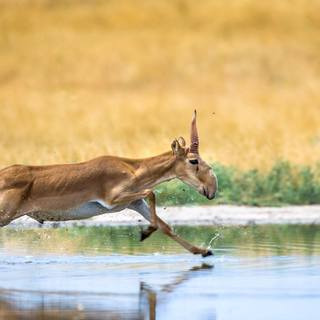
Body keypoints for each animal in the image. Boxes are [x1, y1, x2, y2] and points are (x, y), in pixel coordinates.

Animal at [0, 111, 218, 256]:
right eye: (193, 160)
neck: (132, 169)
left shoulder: (134, 203)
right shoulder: (113, 200)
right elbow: (151, 193)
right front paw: (145, 233)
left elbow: (165, 226)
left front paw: (203, 251)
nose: (211, 189)